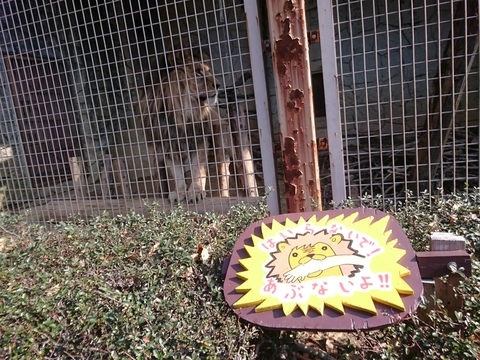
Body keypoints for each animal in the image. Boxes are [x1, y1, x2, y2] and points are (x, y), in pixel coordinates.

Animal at [139, 49, 232, 204]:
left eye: (208, 71)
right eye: (198, 72)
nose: (218, 85)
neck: (180, 114)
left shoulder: (199, 140)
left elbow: (197, 169)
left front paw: (196, 192)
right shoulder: (168, 146)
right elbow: (177, 173)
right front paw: (179, 193)